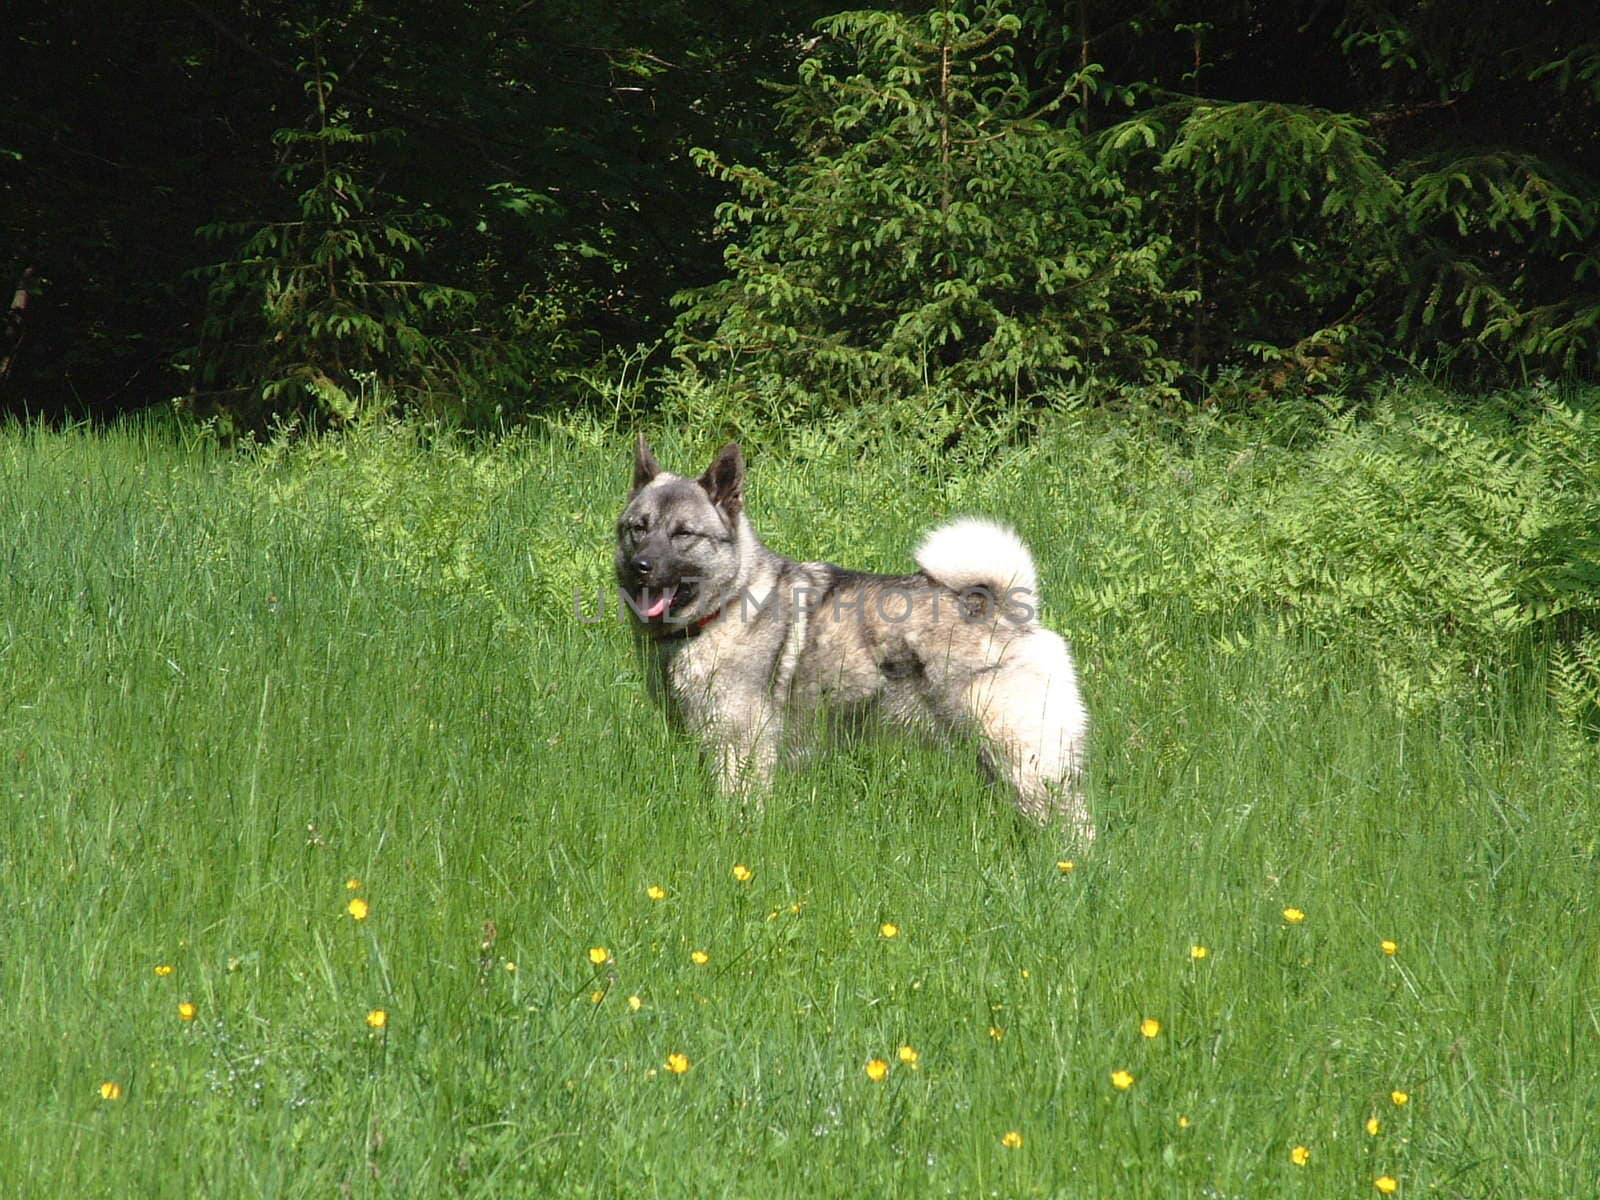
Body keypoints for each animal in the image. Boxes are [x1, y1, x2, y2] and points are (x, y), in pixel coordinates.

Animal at [608, 438, 1088, 838]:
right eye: (638, 528)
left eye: (684, 534)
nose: (642, 566)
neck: (727, 605)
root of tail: (1006, 611)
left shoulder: (740, 748)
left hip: (1023, 757)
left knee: (1071, 820)